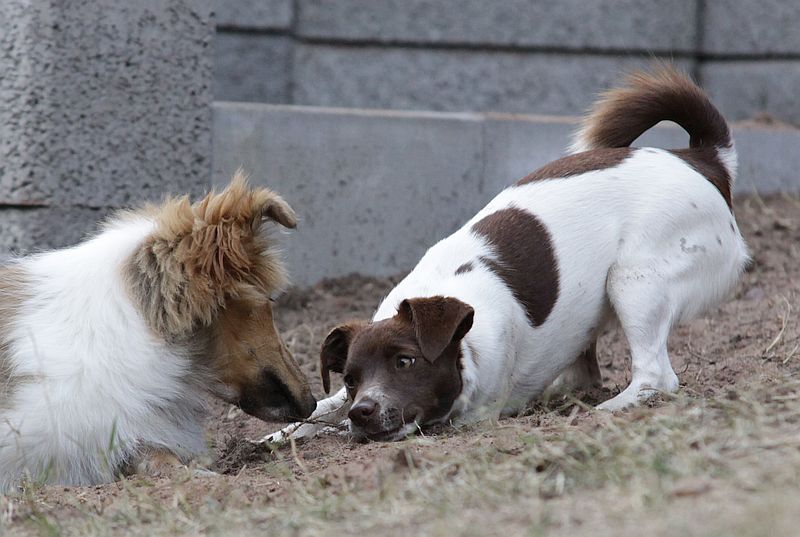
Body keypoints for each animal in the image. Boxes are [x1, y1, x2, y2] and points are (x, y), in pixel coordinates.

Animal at [268, 66, 752, 444]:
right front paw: (283, 433)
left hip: (635, 281)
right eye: (350, 379)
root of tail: (704, 159)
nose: (361, 411)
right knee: (586, 370)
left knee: (656, 376)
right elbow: (318, 409)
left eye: (406, 361)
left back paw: (609, 409)